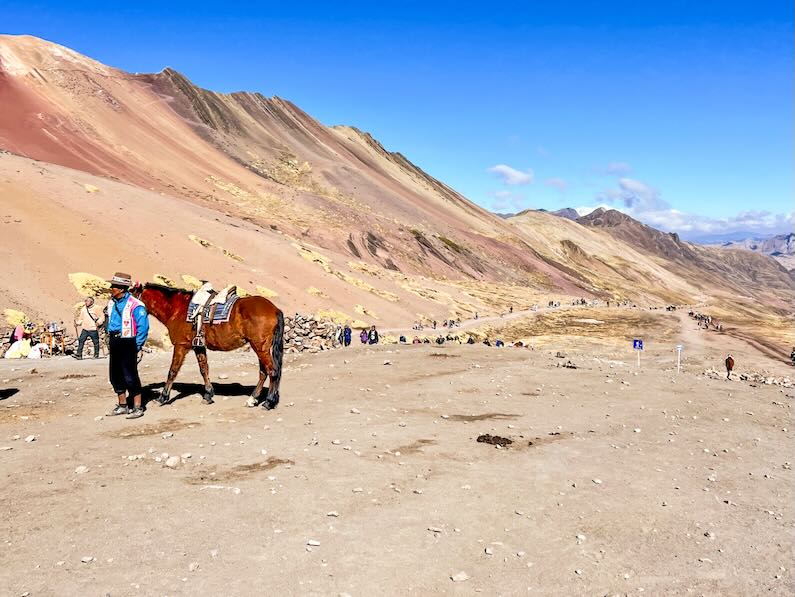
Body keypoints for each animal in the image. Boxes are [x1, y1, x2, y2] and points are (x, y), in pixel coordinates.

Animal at [134, 286, 286, 410]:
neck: (176, 310)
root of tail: (275, 309)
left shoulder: (180, 346)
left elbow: (173, 371)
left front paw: (163, 397)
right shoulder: (198, 346)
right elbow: (204, 369)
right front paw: (208, 395)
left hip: (260, 347)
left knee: (272, 371)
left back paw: (268, 402)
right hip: (260, 347)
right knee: (263, 372)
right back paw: (253, 399)